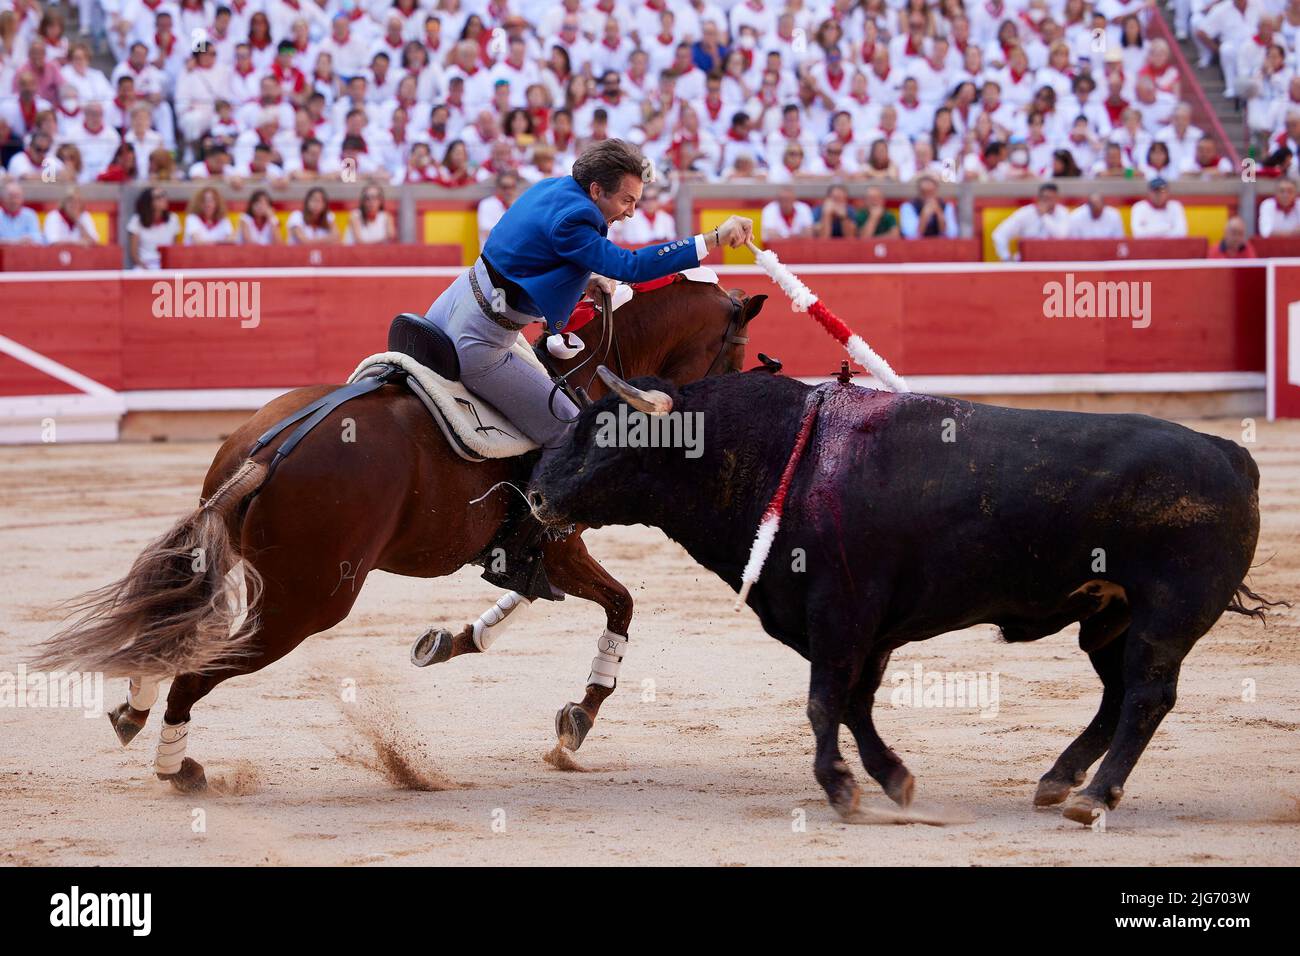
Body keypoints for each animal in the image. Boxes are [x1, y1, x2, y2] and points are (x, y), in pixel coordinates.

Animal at [32, 278, 759, 790]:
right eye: (735, 352)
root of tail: (270, 451)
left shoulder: (538, 546)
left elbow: (534, 595)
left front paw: (449, 641)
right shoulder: (561, 538)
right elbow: (621, 604)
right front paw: (578, 716)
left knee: (173, 631)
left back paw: (134, 711)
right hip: (308, 604)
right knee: (202, 664)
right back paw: (177, 767)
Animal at [527, 369, 1279, 827]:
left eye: (608, 433)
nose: (533, 494)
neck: (778, 454)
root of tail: (1230, 455)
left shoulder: (842, 615)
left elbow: (824, 701)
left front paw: (841, 787)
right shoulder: (870, 631)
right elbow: (854, 705)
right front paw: (892, 779)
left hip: (1164, 617)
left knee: (1147, 697)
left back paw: (1092, 798)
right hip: (1107, 618)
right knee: (1117, 696)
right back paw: (1058, 780)